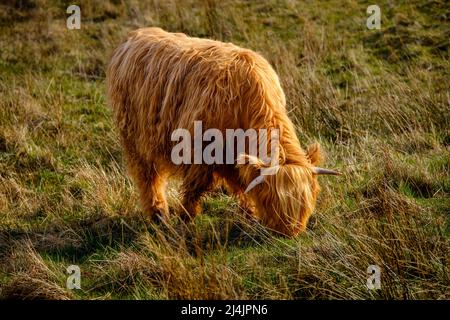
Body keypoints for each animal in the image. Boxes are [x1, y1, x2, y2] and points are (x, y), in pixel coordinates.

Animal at [105, 27, 340, 236]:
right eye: (270, 199)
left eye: (308, 198)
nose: (289, 232)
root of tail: (134, 37)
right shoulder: (199, 152)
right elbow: (195, 188)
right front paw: (186, 217)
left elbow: (242, 184)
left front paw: (249, 214)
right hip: (135, 138)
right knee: (147, 176)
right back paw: (158, 214)